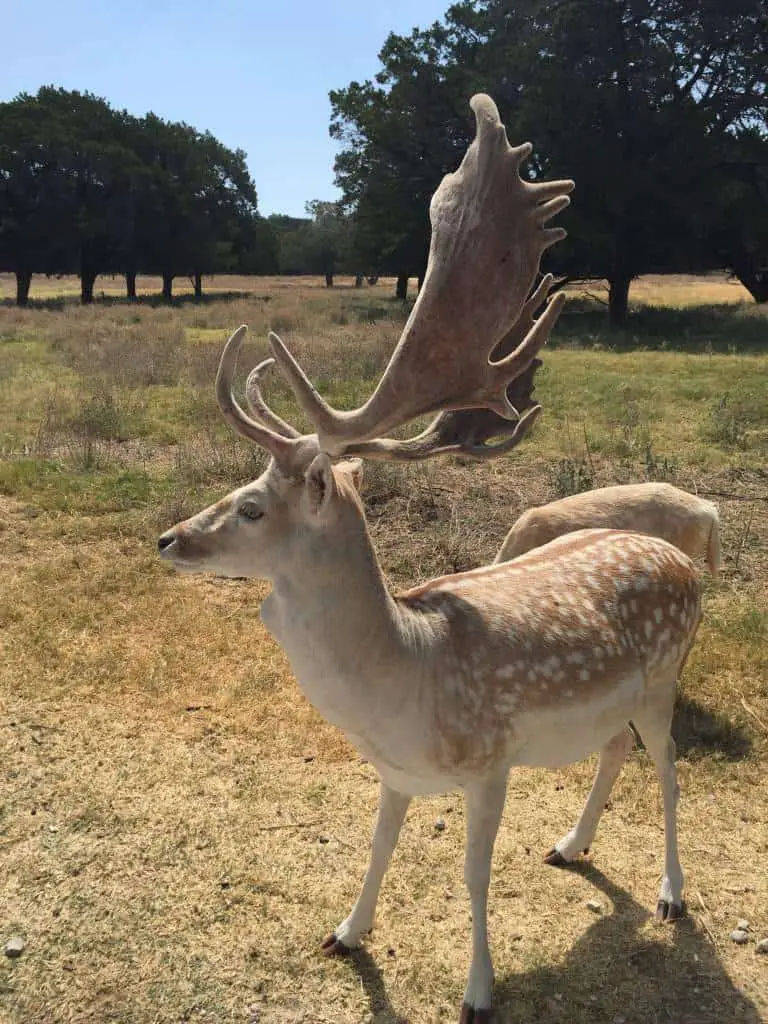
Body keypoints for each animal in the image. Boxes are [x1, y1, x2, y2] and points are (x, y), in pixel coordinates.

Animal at [159, 96, 700, 1024]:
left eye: (254, 506)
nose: (169, 539)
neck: (404, 684)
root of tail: (684, 558)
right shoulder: (396, 771)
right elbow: (377, 847)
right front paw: (345, 933)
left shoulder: (489, 763)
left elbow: (473, 878)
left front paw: (478, 991)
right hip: (620, 698)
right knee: (614, 751)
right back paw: (570, 844)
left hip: (667, 675)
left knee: (666, 771)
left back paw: (669, 893)